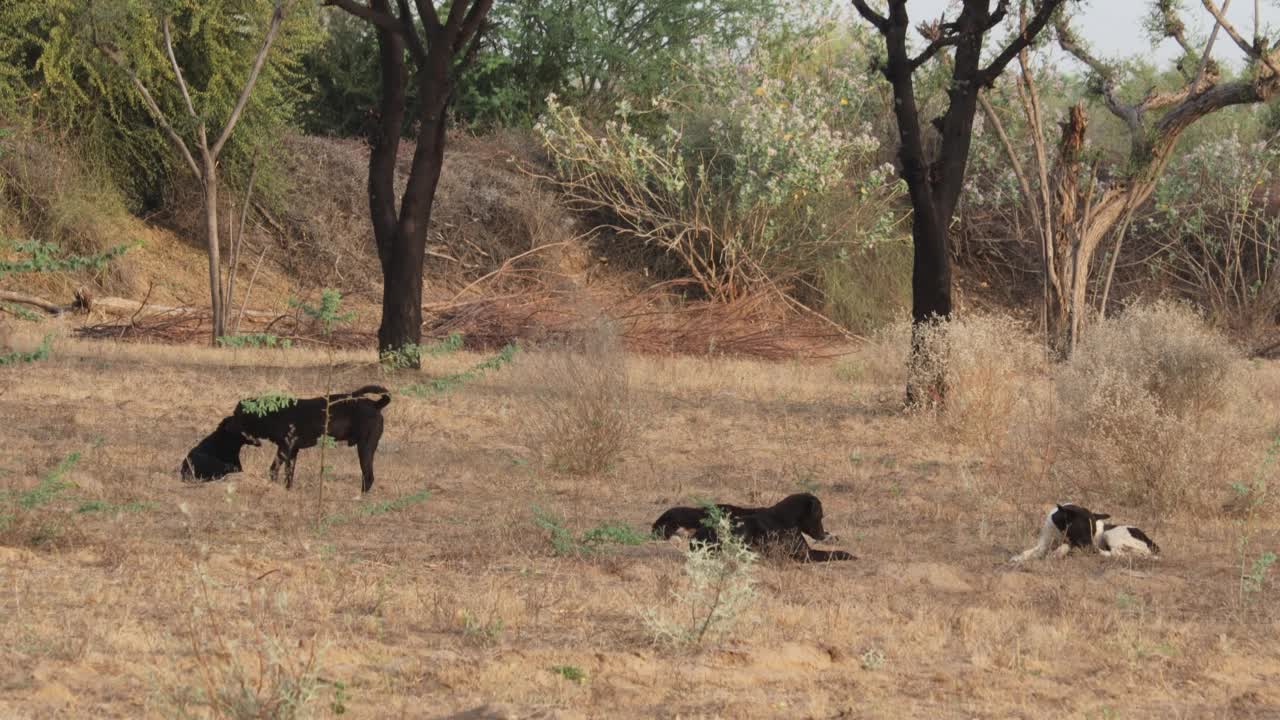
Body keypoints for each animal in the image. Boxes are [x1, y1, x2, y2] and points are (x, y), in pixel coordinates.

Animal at [180, 384, 389, 489]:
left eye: (237, 414)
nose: (224, 422)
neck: (272, 413)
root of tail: (375, 405)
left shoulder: (284, 449)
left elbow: (274, 469)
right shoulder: (292, 451)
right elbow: (288, 474)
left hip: (365, 447)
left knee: (368, 476)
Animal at [655, 491, 855, 561]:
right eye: (820, 516)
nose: (822, 534)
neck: (785, 518)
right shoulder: (803, 554)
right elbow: (831, 554)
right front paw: (848, 554)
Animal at [1008, 499, 1162, 561]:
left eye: (1092, 533)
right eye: (1083, 531)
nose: (1092, 549)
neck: (1060, 530)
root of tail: (1151, 542)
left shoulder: (1073, 543)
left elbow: (1064, 547)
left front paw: (1057, 554)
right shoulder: (1044, 543)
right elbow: (1030, 551)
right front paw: (1019, 558)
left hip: (1111, 534)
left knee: (1116, 553)